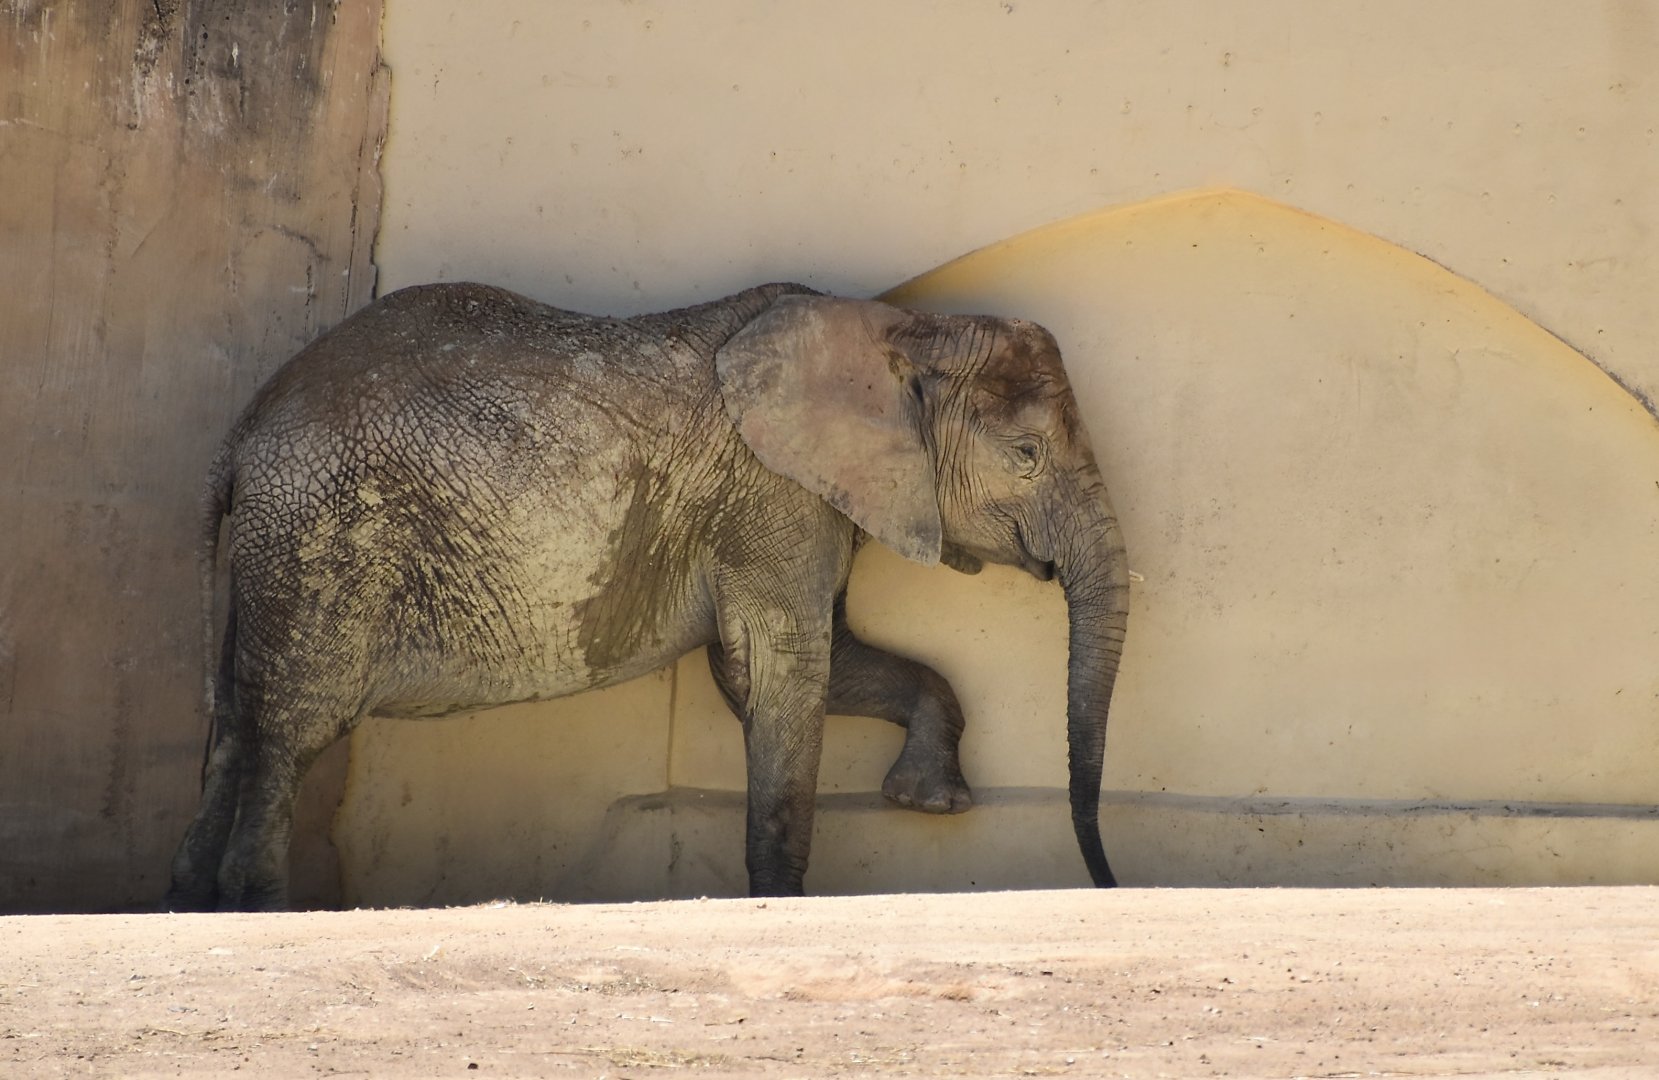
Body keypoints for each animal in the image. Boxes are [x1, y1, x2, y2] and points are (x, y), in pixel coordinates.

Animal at [164, 281, 1132, 911]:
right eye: (1025, 456)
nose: (1107, 881)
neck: (904, 332)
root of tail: (242, 431)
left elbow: (805, 662)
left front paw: (930, 805)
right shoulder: (771, 495)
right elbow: (779, 673)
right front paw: (781, 901)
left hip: (274, 558)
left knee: (236, 727)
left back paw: (188, 903)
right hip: (322, 542)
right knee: (290, 732)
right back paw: (258, 907)